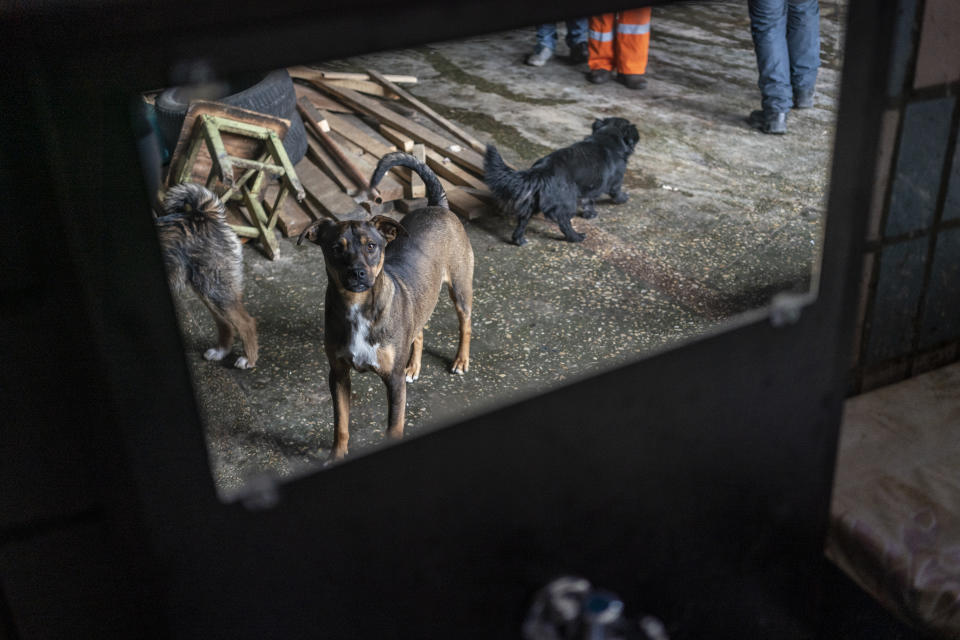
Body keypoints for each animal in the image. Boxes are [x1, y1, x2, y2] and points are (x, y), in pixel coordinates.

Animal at [300, 151, 472, 460]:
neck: (358, 307)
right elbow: (341, 423)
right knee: (419, 330)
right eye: (335, 248)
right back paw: (413, 366)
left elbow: (393, 427)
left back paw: (461, 360)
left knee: (465, 324)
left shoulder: (393, 382)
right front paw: (336, 456)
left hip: (461, 288)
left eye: (372, 246)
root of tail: (436, 205)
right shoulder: (338, 375)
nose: (357, 273)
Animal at [488, 115, 636, 245]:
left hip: (533, 203)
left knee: (523, 219)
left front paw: (590, 214)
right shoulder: (616, 181)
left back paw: (519, 240)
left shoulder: (590, 186)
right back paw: (576, 237)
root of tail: (541, 170)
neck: (606, 137)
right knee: (564, 223)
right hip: (567, 204)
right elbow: (616, 192)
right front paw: (624, 198)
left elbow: (588, 201)